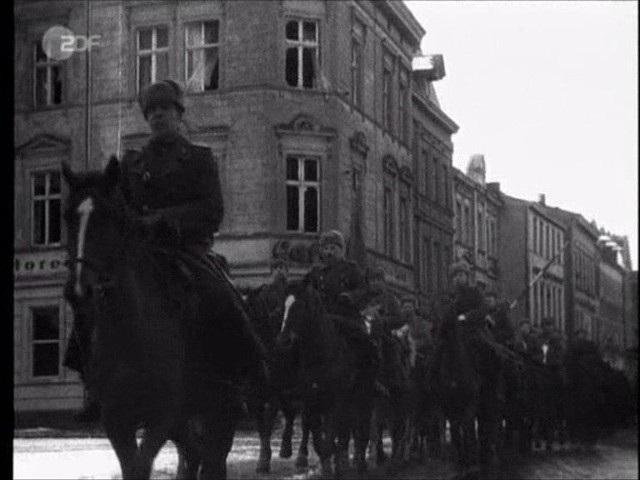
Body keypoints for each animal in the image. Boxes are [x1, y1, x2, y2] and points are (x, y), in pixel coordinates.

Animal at [62, 158, 240, 480]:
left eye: (111, 217)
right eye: (67, 216)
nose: (80, 290)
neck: (131, 331)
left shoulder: (162, 415)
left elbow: (142, 465)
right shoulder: (117, 419)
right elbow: (133, 467)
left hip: (219, 412)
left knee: (212, 460)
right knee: (194, 454)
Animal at [276, 284, 376, 478]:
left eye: (300, 305)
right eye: (284, 305)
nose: (283, 340)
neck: (319, 357)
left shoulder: (334, 403)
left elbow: (330, 437)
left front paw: (332, 465)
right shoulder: (311, 402)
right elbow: (318, 438)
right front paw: (326, 463)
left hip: (363, 397)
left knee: (362, 429)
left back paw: (359, 463)